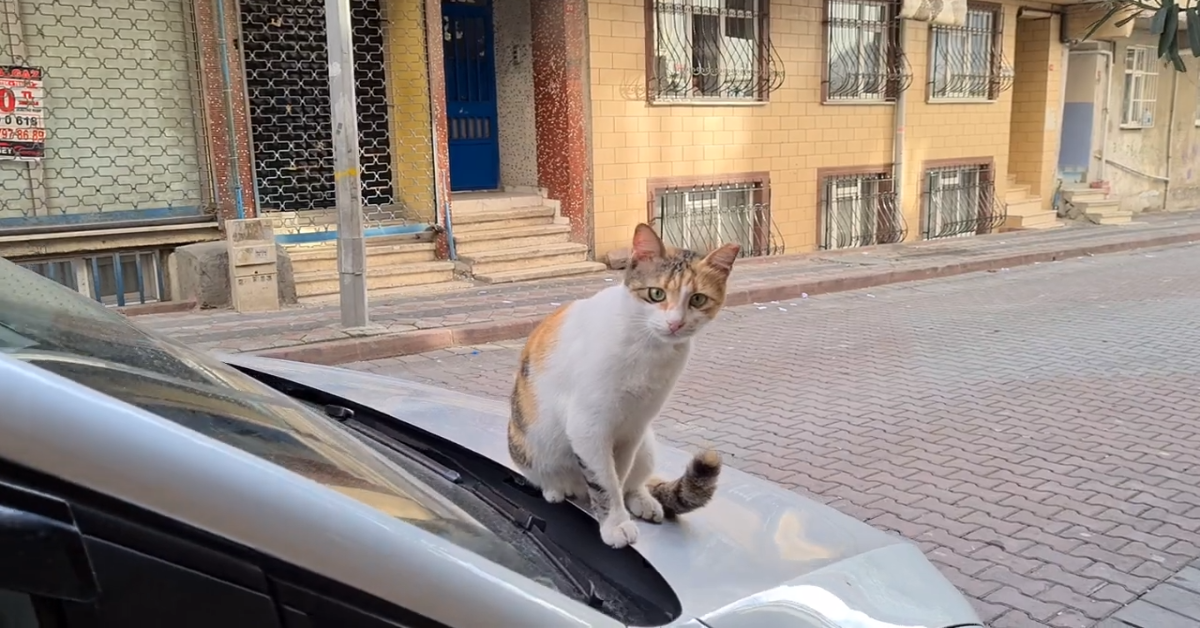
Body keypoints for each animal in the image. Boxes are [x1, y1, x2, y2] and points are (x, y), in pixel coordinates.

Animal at [501, 223, 734, 547]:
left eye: (698, 299)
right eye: (656, 294)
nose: (675, 323)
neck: (648, 348)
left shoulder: (632, 428)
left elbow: (617, 478)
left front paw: (619, 510)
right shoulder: (589, 425)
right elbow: (604, 481)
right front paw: (615, 523)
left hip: (646, 443)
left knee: (636, 481)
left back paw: (643, 500)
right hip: (530, 446)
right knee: (547, 475)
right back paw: (557, 488)